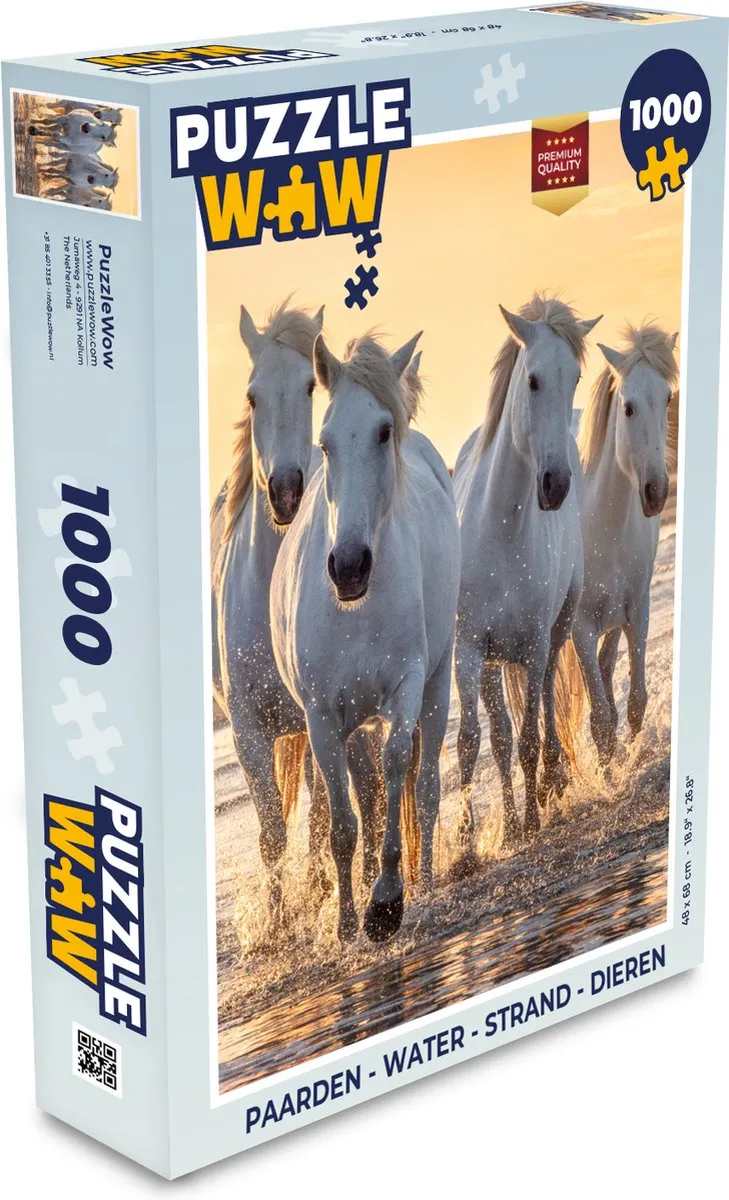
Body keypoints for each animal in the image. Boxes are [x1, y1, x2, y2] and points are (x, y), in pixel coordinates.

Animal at [271, 332, 460, 943]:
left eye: (383, 431)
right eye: (325, 442)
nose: (349, 566)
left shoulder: (406, 685)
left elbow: (399, 764)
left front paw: (387, 902)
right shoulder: (322, 718)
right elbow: (343, 822)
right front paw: (349, 922)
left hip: (438, 680)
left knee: (425, 788)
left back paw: (427, 880)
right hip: (352, 723)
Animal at [453, 294, 601, 846]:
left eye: (575, 378)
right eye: (533, 380)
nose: (555, 484)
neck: (502, 530)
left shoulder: (534, 646)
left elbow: (531, 735)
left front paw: (536, 815)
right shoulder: (469, 650)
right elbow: (475, 740)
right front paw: (468, 845)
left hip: (554, 633)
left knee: (543, 711)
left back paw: (551, 784)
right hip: (492, 662)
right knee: (498, 732)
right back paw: (514, 819)